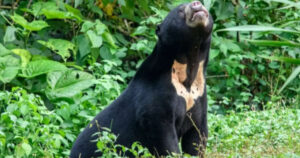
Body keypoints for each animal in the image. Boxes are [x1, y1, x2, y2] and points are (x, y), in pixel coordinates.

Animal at [70, 0, 212, 157]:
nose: (196, 4)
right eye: (180, 10)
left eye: (199, 3)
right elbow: (165, 137)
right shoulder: (156, 99)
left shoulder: (198, 96)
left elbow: (197, 135)